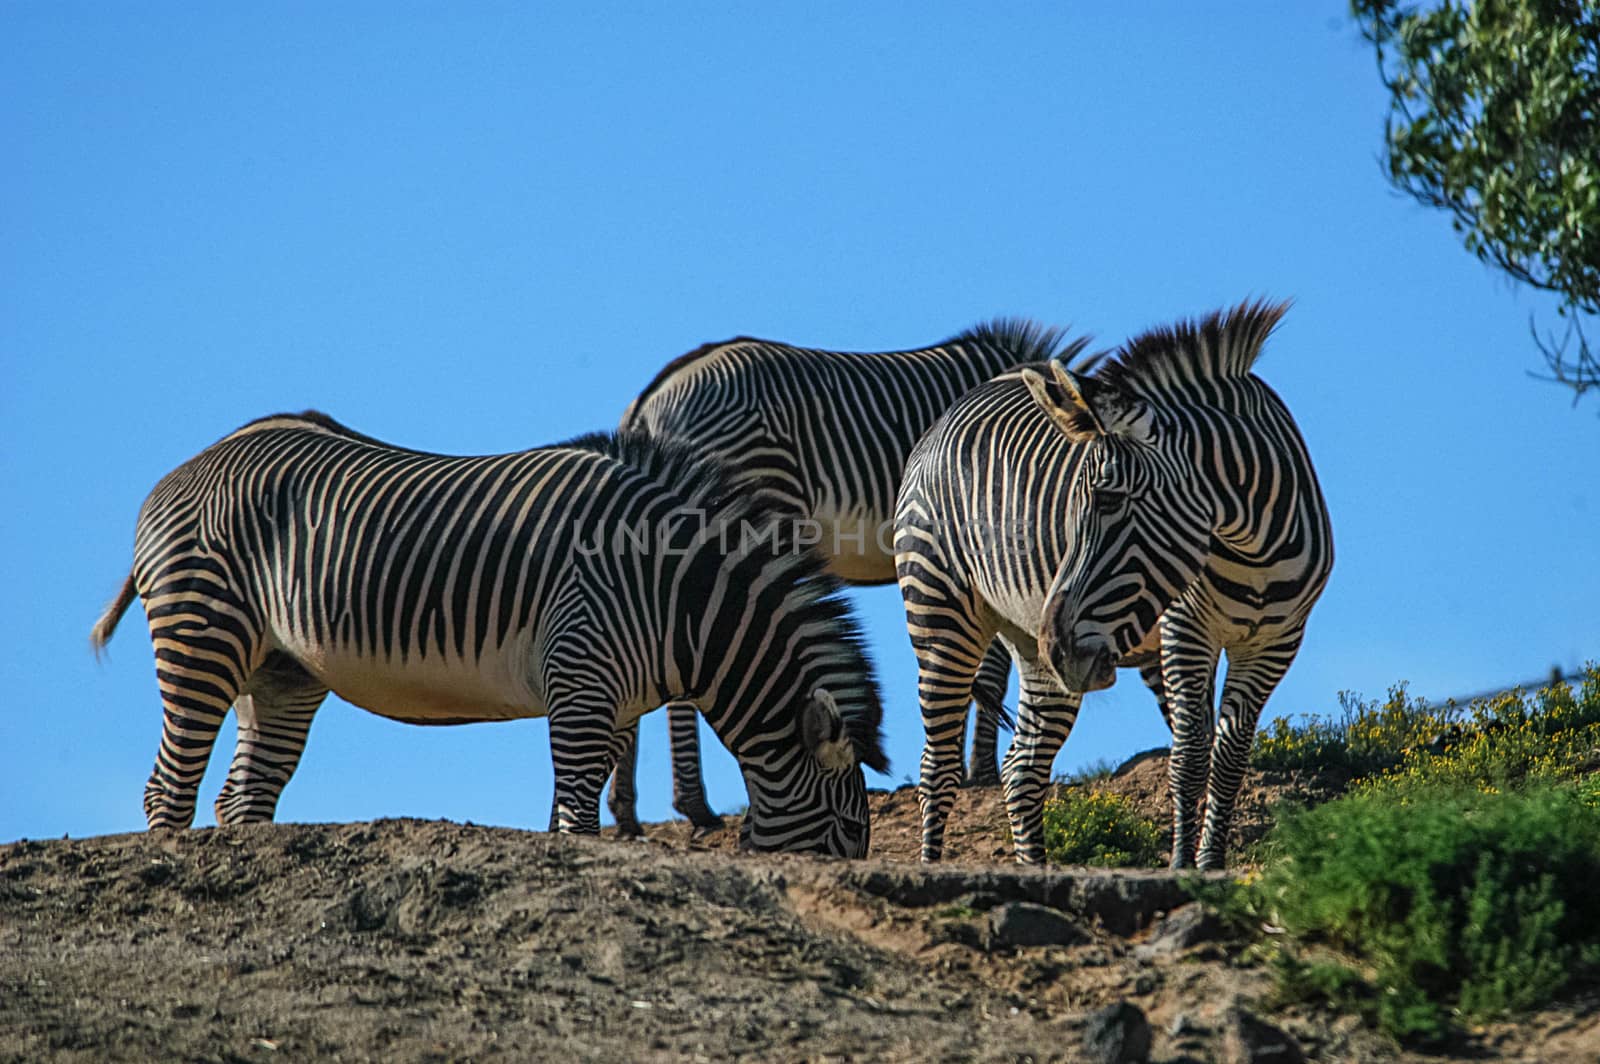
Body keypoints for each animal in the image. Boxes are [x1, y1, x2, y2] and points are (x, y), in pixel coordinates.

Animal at [87, 408, 889, 857]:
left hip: (284, 671)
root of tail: (185, 469)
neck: (677, 597)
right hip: (203, 630)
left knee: (241, 796)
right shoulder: (580, 678)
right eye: (845, 835)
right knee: (169, 787)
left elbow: (571, 806)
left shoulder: (607, 704)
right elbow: (575, 817)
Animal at [896, 302, 1331, 870]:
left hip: (1034, 646)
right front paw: (1181, 868)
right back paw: (931, 862)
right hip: (941, 612)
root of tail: (954, 409)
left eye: (1106, 501)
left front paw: (1210, 867)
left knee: (1023, 768)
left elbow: (1230, 758)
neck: (1253, 548)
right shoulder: (1184, 632)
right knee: (938, 766)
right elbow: (1189, 755)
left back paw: (1037, 867)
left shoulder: (1276, 642)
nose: (1058, 646)